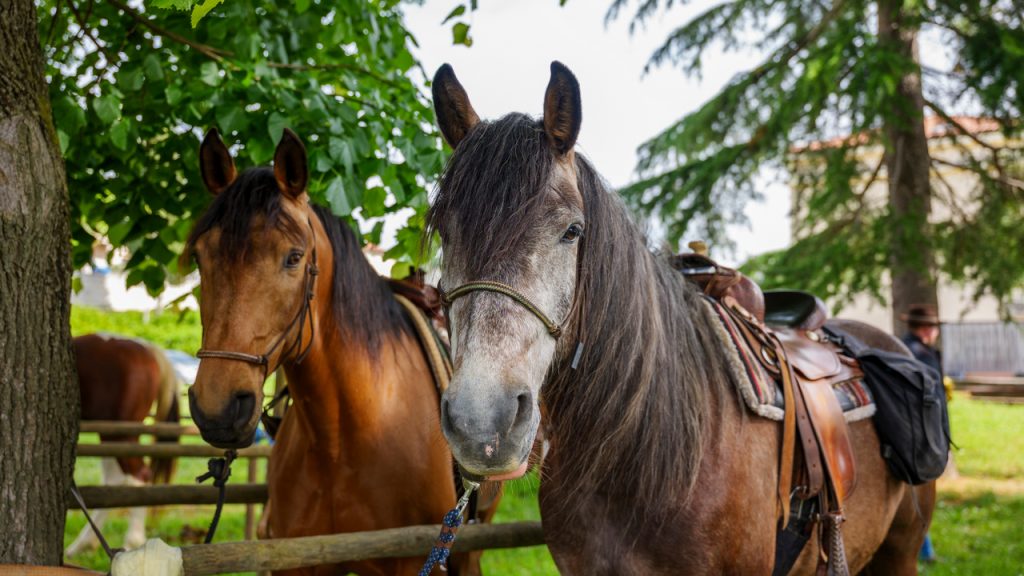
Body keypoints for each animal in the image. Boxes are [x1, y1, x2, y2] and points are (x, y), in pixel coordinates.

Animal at [66, 333, 181, 556]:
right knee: (114, 482)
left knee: (139, 476)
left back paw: (133, 541)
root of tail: (147, 348)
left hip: (122, 434)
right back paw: (83, 544)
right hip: (110, 435)